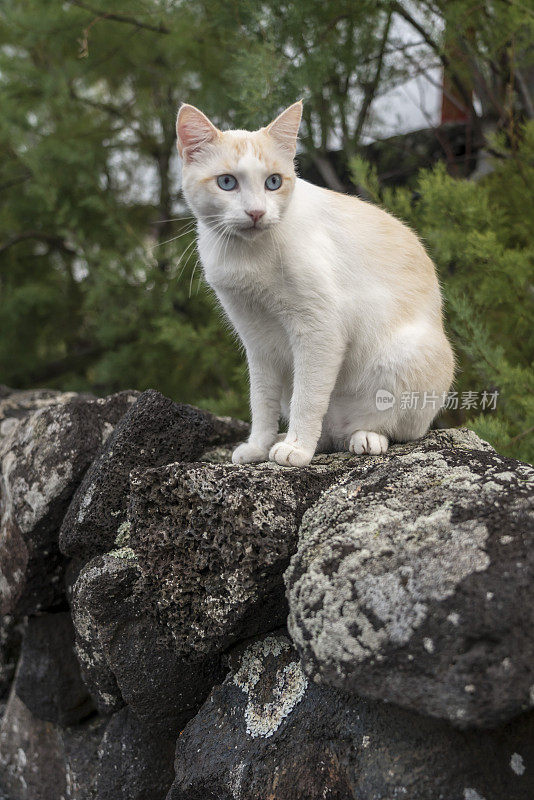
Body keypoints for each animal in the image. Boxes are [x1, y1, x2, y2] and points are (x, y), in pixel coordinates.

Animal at [177, 101, 456, 466]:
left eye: (273, 182)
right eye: (227, 182)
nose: (256, 213)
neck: (248, 256)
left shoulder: (319, 330)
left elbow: (308, 398)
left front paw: (296, 449)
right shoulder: (257, 339)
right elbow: (261, 401)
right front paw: (259, 446)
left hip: (405, 356)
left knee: (390, 427)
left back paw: (362, 438)